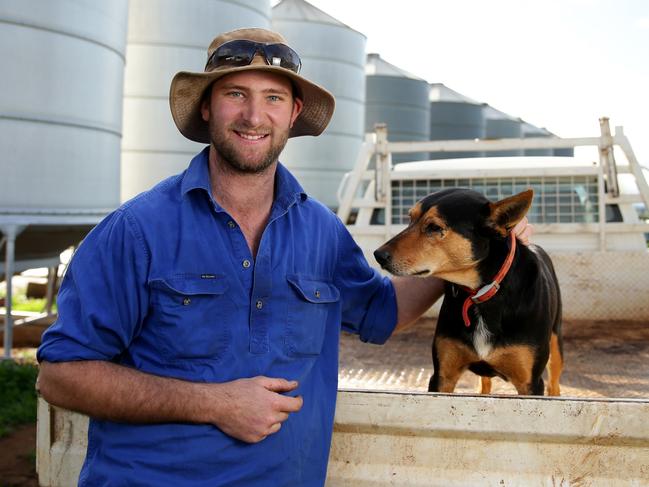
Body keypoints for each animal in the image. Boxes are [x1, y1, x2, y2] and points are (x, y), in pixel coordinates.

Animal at [374, 188, 560, 396]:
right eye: (410, 219)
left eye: (434, 227)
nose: (378, 255)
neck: (479, 294)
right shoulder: (442, 376)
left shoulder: (530, 384)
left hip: (555, 345)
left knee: (554, 384)